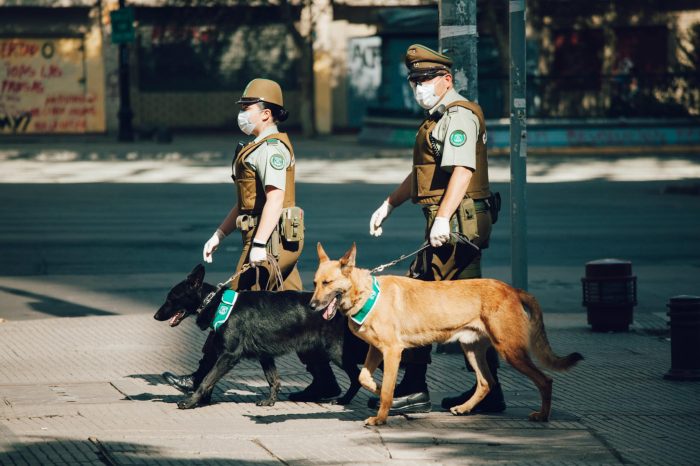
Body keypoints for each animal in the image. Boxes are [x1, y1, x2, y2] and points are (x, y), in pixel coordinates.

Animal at [154, 264, 366, 410]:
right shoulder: (264, 355)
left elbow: (207, 379)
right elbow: (274, 380)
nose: (155, 316)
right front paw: (271, 401)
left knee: (357, 378)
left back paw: (344, 400)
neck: (216, 302)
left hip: (336, 352)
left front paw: (191, 401)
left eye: (171, 298)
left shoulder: (228, 355)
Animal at [308, 244, 584, 426]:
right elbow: (366, 378)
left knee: (544, 380)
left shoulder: (393, 352)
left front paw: (381, 417)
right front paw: (380, 391)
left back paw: (543, 415)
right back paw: (465, 408)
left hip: (510, 351)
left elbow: (386, 390)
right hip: (471, 349)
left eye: (328, 283)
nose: (311, 306)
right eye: (314, 283)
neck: (367, 295)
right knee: (486, 382)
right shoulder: (376, 350)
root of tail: (513, 289)